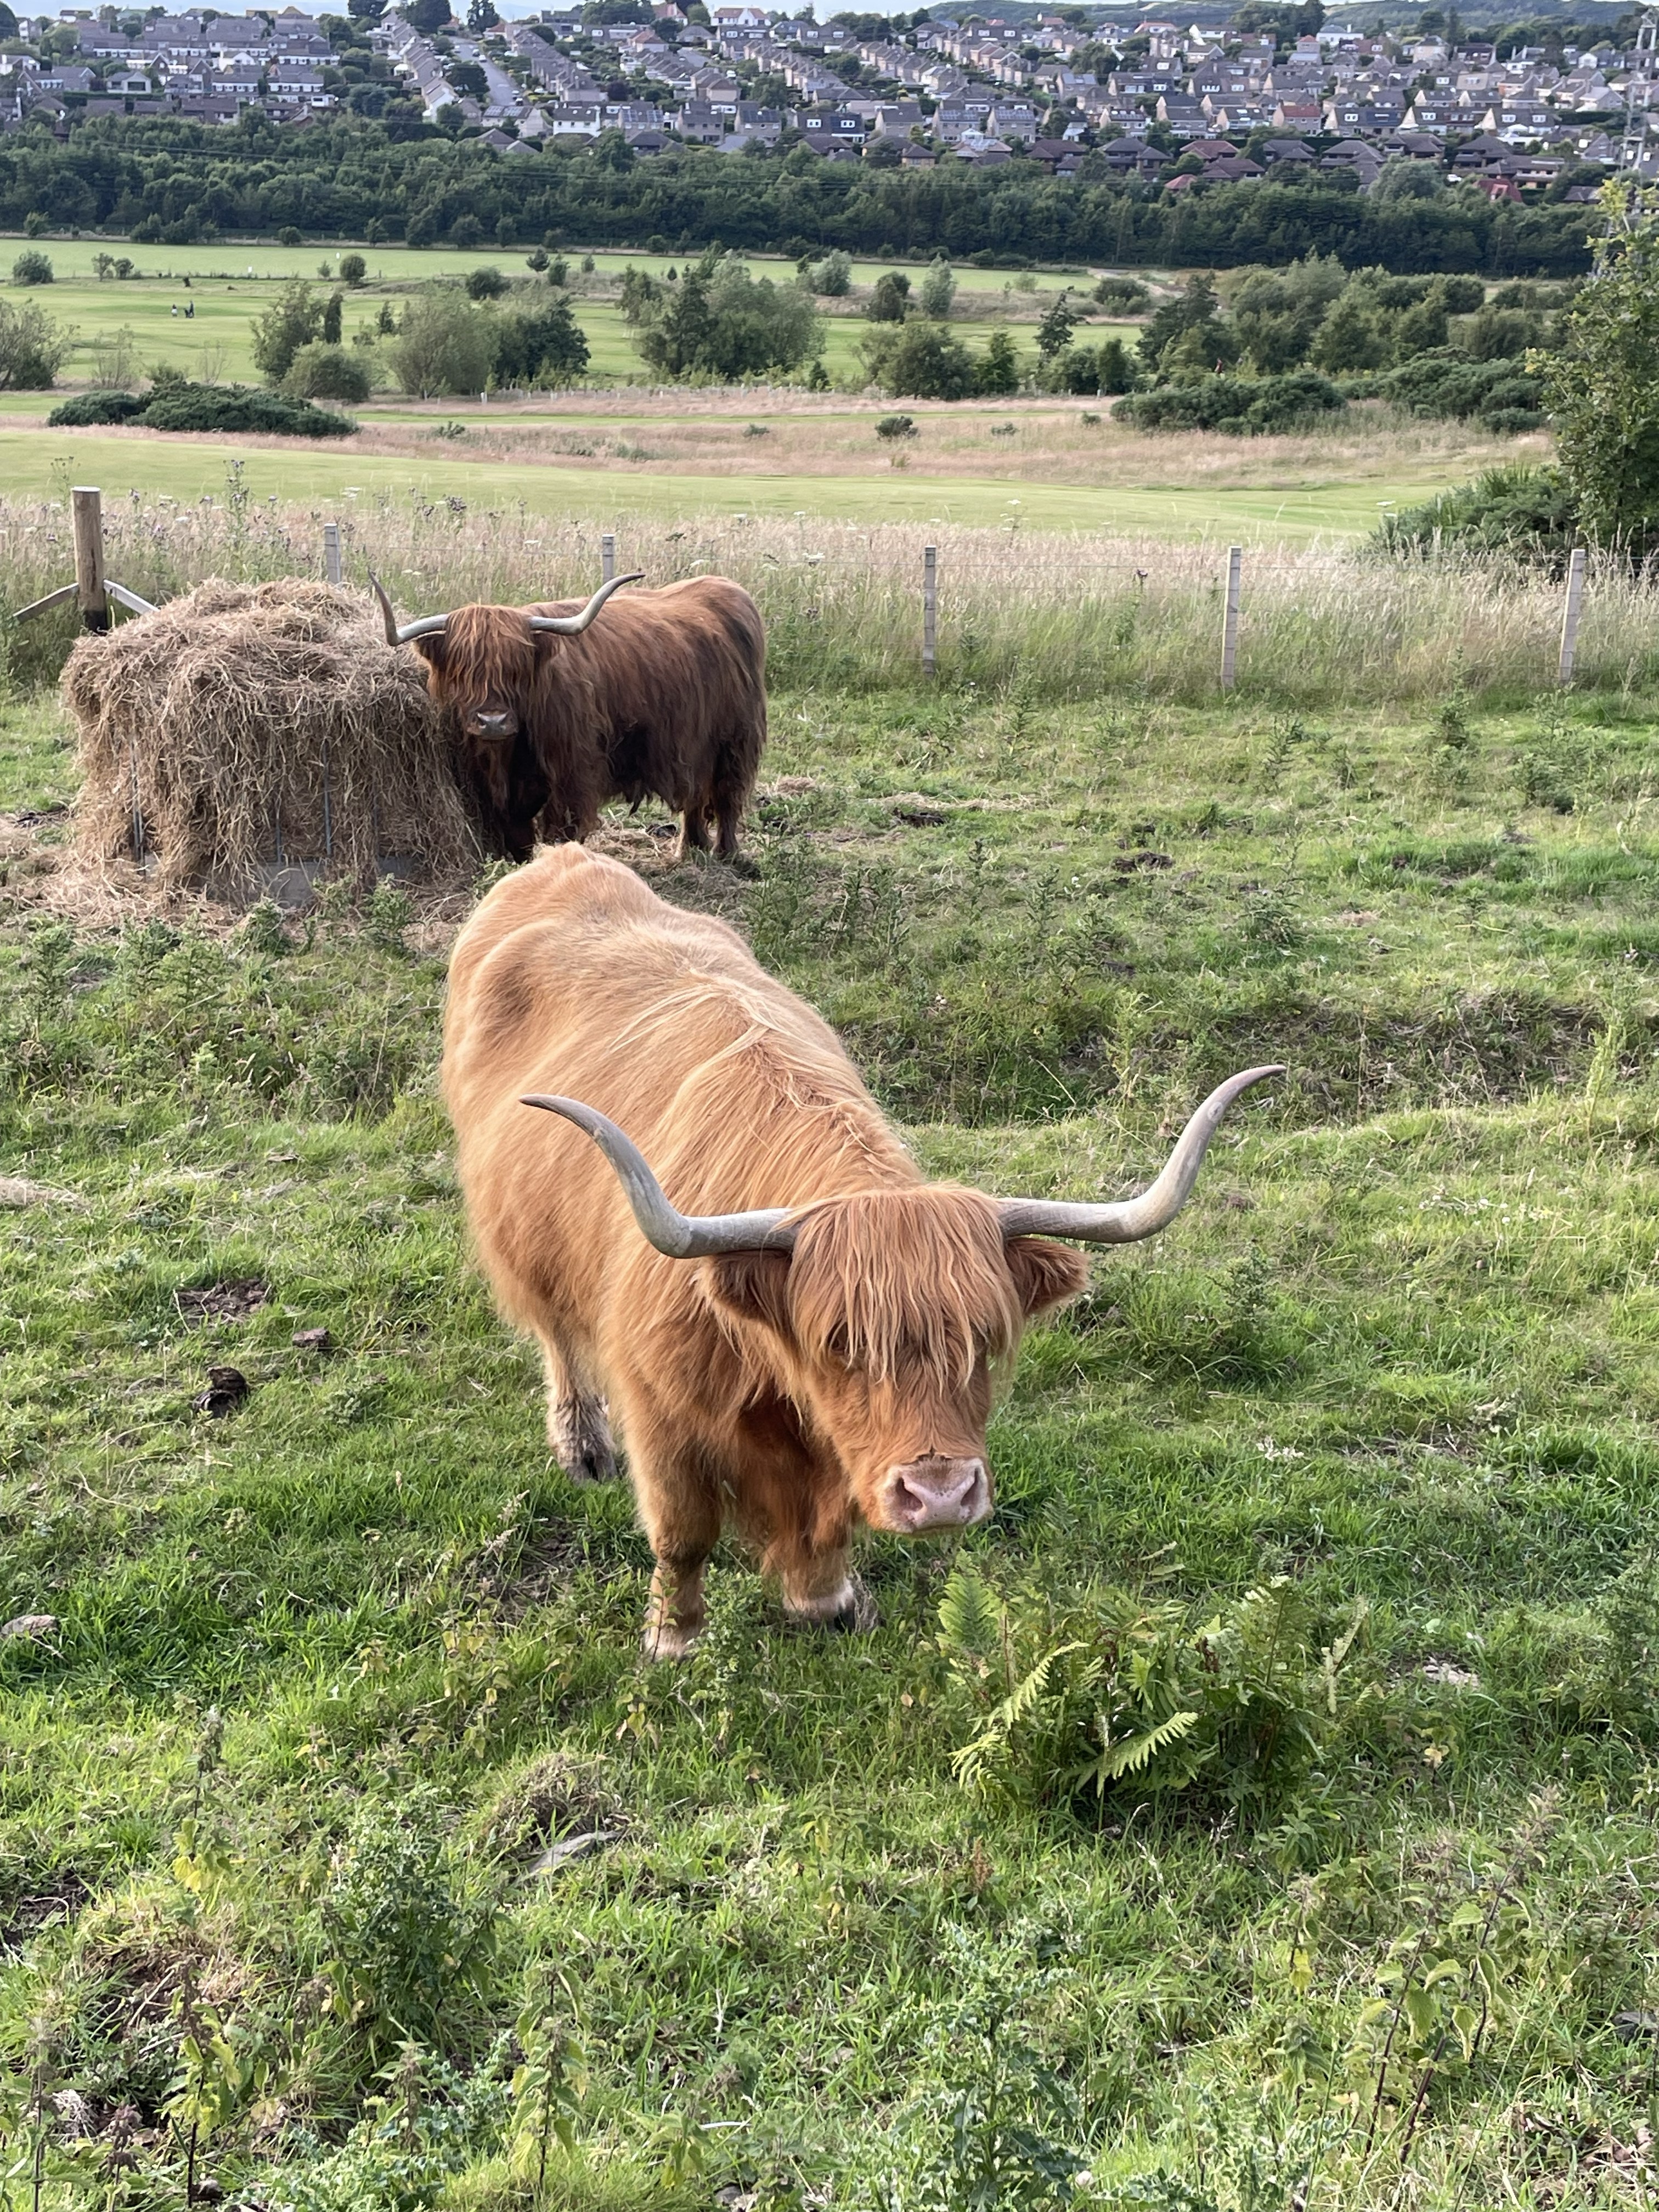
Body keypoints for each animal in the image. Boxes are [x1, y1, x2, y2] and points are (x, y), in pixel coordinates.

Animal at [371, 571, 767, 865]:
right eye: (463, 672)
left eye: (517, 671)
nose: (493, 722)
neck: (509, 755)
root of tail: (726, 587)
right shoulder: (495, 787)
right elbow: (517, 836)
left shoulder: (570, 773)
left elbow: (562, 830)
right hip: (695, 744)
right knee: (696, 795)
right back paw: (690, 850)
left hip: (736, 740)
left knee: (727, 796)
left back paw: (726, 854)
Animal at [442, 844, 1280, 1658]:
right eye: (841, 1343)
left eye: (984, 1338)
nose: (940, 1495)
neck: (771, 1380)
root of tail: (562, 857)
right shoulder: (663, 1415)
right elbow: (682, 1533)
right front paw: (673, 1637)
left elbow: (827, 1523)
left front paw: (827, 1602)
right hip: (521, 1242)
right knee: (556, 1335)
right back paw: (582, 1449)